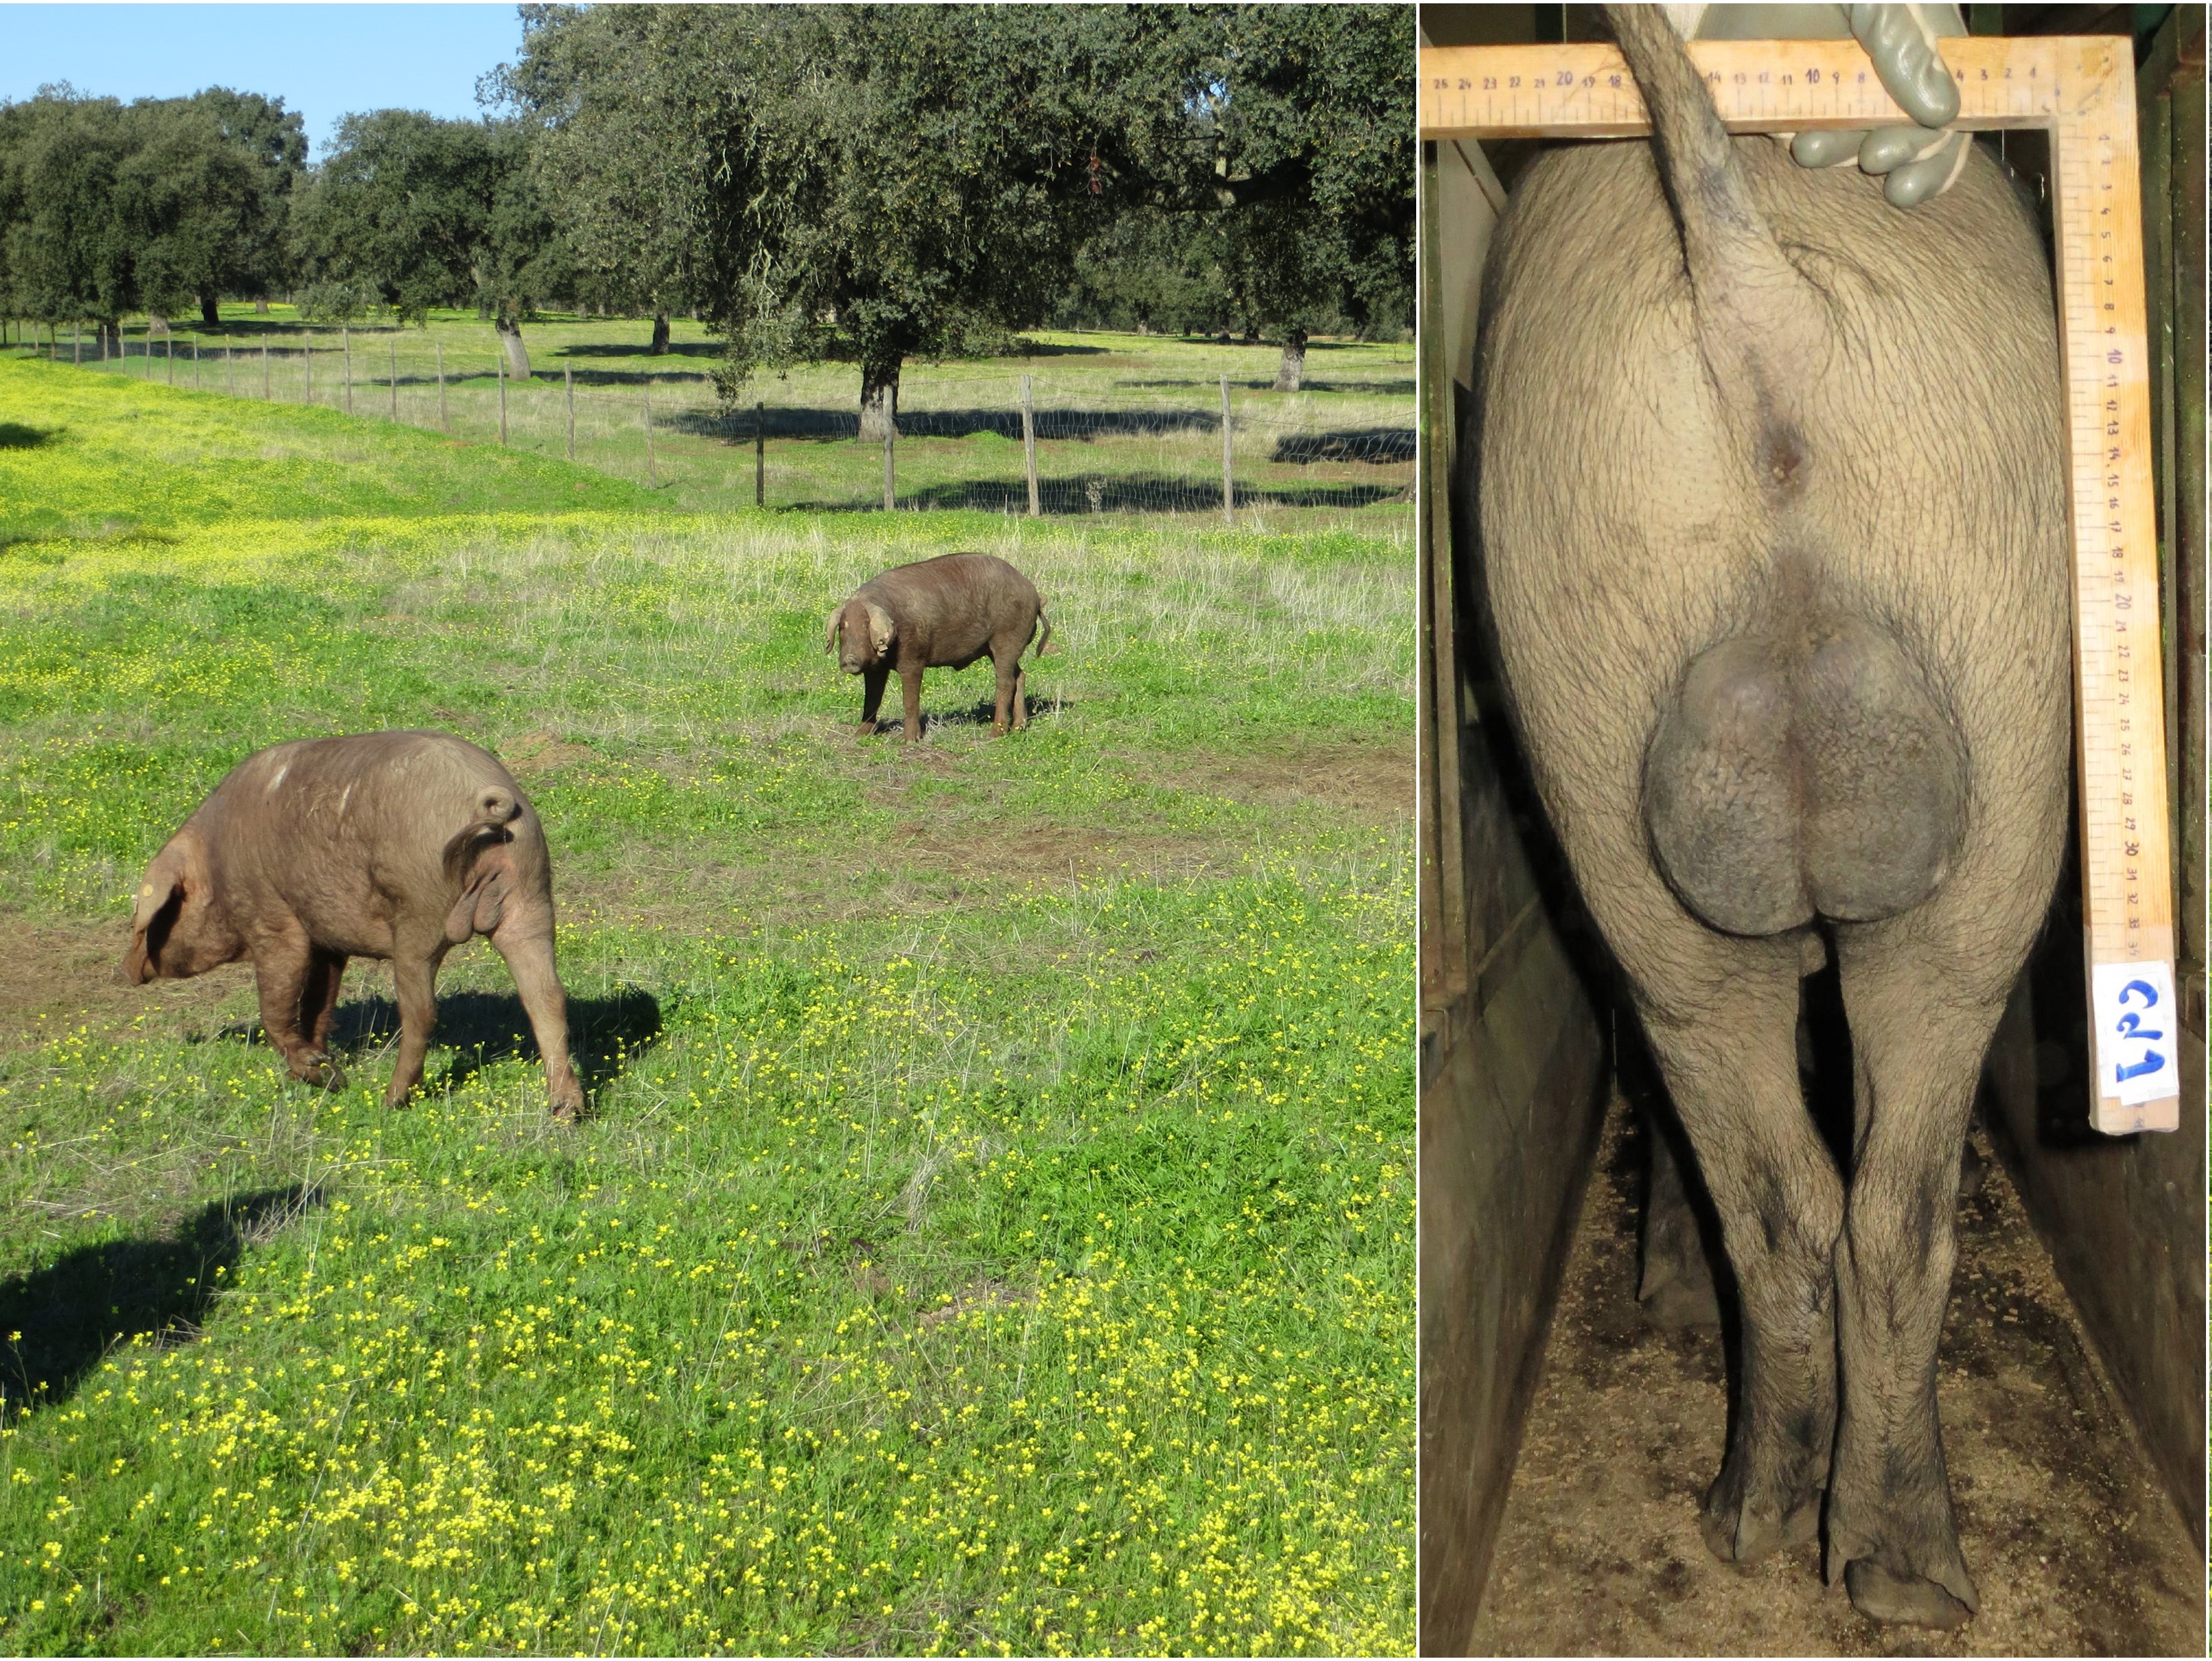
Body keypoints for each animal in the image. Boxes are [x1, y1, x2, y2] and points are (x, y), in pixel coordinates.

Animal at [121, 734, 588, 1123]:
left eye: (145, 916)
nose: (125, 971)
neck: (215, 866)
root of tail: (488, 798)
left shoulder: (272, 921)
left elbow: (277, 1006)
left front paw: (326, 1077)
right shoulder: (329, 944)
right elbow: (318, 1003)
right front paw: (314, 1072)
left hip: (420, 914)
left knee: (421, 1012)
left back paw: (391, 1100)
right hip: (531, 897)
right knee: (546, 996)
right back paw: (566, 1112)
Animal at [831, 552, 1053, 738]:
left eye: (866, 626)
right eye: (843, 627)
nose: (849, 659)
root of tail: (1035, 595)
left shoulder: (913, 659)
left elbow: (910, 700)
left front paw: (909, 741)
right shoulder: (875, 669)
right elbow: (871, 700)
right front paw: (859, 736)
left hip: (1006, 640)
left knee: (1005, 683)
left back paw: (994, 734)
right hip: (993, 648)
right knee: (1020, 676)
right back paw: (1018, 728)